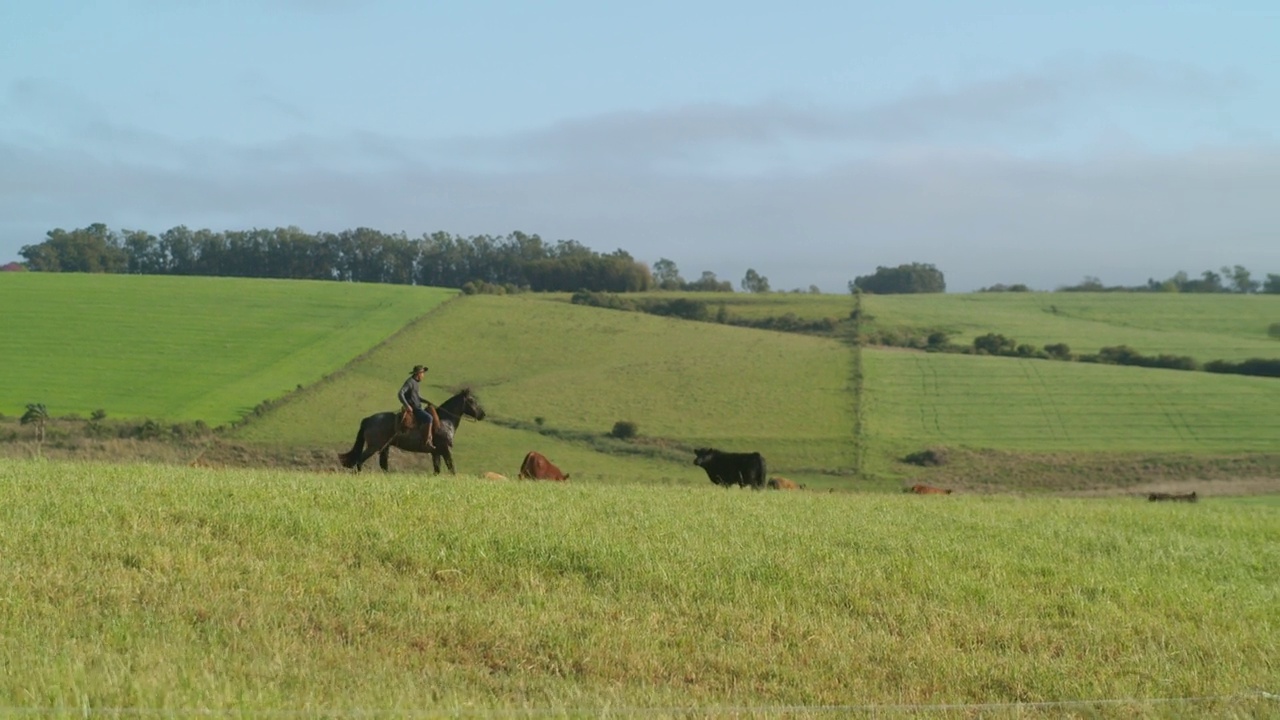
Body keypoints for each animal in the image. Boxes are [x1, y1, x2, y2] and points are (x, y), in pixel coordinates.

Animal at [337, 386, 481, 471]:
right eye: (472, 400)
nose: (483, 414)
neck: (444, 421)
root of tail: (368, 419)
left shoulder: (436, 453)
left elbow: (437, 471)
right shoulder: (446, 450)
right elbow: (452, 469)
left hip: (384, 447)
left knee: (383, 466)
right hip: (374, 447)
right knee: (360, 461)